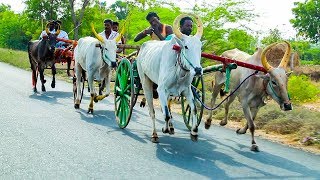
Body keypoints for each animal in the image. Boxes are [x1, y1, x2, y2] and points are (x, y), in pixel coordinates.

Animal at [136, 14, 204, 143]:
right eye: (186, 47)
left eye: (200, 48)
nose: (198, 70)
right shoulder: (161, 89)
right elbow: (166, 114)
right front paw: (164, 129)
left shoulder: (187, 90)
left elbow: (193, 110)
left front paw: (194, 132)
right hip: (145, 82)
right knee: (152, 111)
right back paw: (155, 134)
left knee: (167, 109)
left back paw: (171, 127)